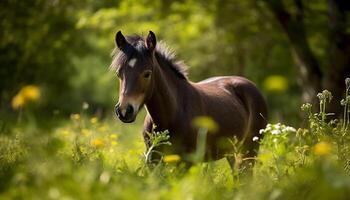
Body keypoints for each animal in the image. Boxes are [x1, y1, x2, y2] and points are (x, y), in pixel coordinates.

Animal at [110, 31, 266, 165]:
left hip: (248, 152)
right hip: (231, 153)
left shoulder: (187, 163)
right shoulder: (154, 162)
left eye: (147, 74)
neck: (172, 114)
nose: (124, 111)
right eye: (119, 73)